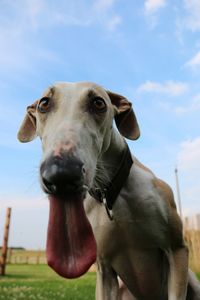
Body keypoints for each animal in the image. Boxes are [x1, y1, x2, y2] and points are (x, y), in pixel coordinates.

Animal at [17, 82, 200, 300]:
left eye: (98, 103)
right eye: (44, 103)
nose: (60, 174)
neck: (112, 195)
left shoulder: (177, 249)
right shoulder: (104, 268)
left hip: (191, 279)